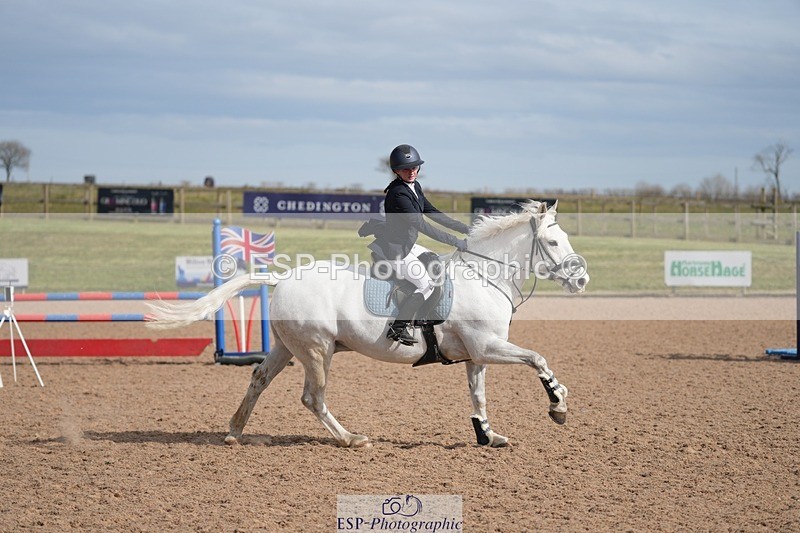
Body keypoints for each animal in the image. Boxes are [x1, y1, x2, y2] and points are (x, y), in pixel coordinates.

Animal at [147, 200, 589, 448]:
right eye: (552, 242)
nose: (582, 280)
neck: (483, 276)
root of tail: (282, 278)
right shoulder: (487, 347)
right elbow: (538, 359)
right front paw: (559, 405)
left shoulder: (476, 355)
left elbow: (478, 397)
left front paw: (488, 436)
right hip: (317, 350)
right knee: (312, 398)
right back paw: (351, 439)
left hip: (287, 347)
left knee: (258, 378)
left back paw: (234, 432)